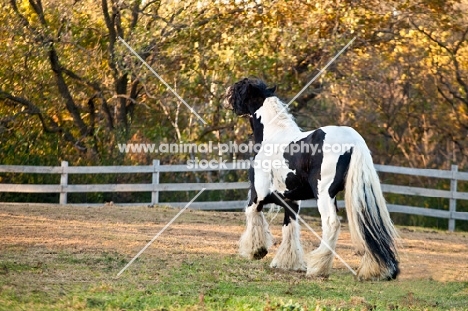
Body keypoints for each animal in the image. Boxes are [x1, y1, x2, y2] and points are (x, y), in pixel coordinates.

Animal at [223, 77, 398, 280]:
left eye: (239, 88)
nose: (225, 98)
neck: (273, 136)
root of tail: (353, 141)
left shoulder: (258, 195)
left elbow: (252, 216)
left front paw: (256, 251)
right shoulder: (291, 201)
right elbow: (289, 227)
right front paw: (287, 263)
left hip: (324, 195)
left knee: (331, 224)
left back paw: (317, 268)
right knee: (367, 226)